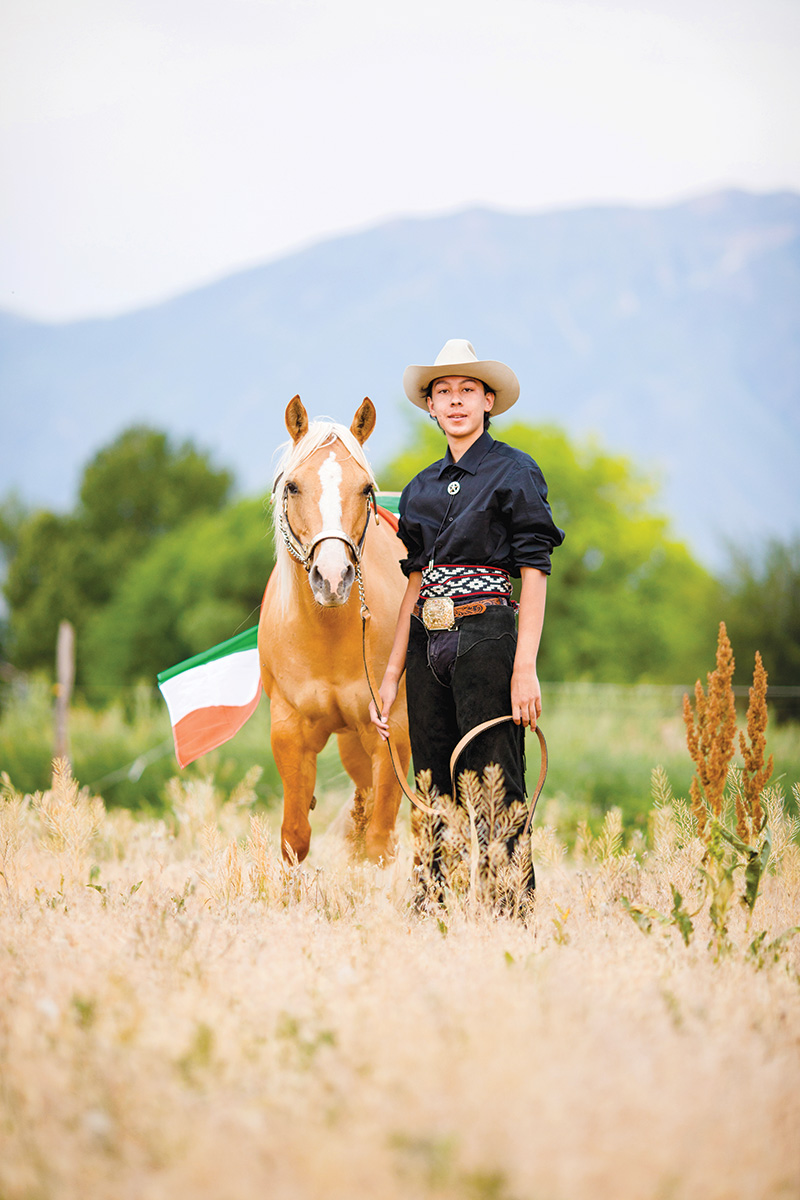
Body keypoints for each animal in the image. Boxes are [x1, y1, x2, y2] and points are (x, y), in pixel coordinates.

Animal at [260, 396, 412, 864]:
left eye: (366, 489)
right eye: (292, 486)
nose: (332, 578)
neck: (328, 635)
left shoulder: (392, 731)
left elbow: (380, 841)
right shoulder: (289, 731)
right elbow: (294, 837)